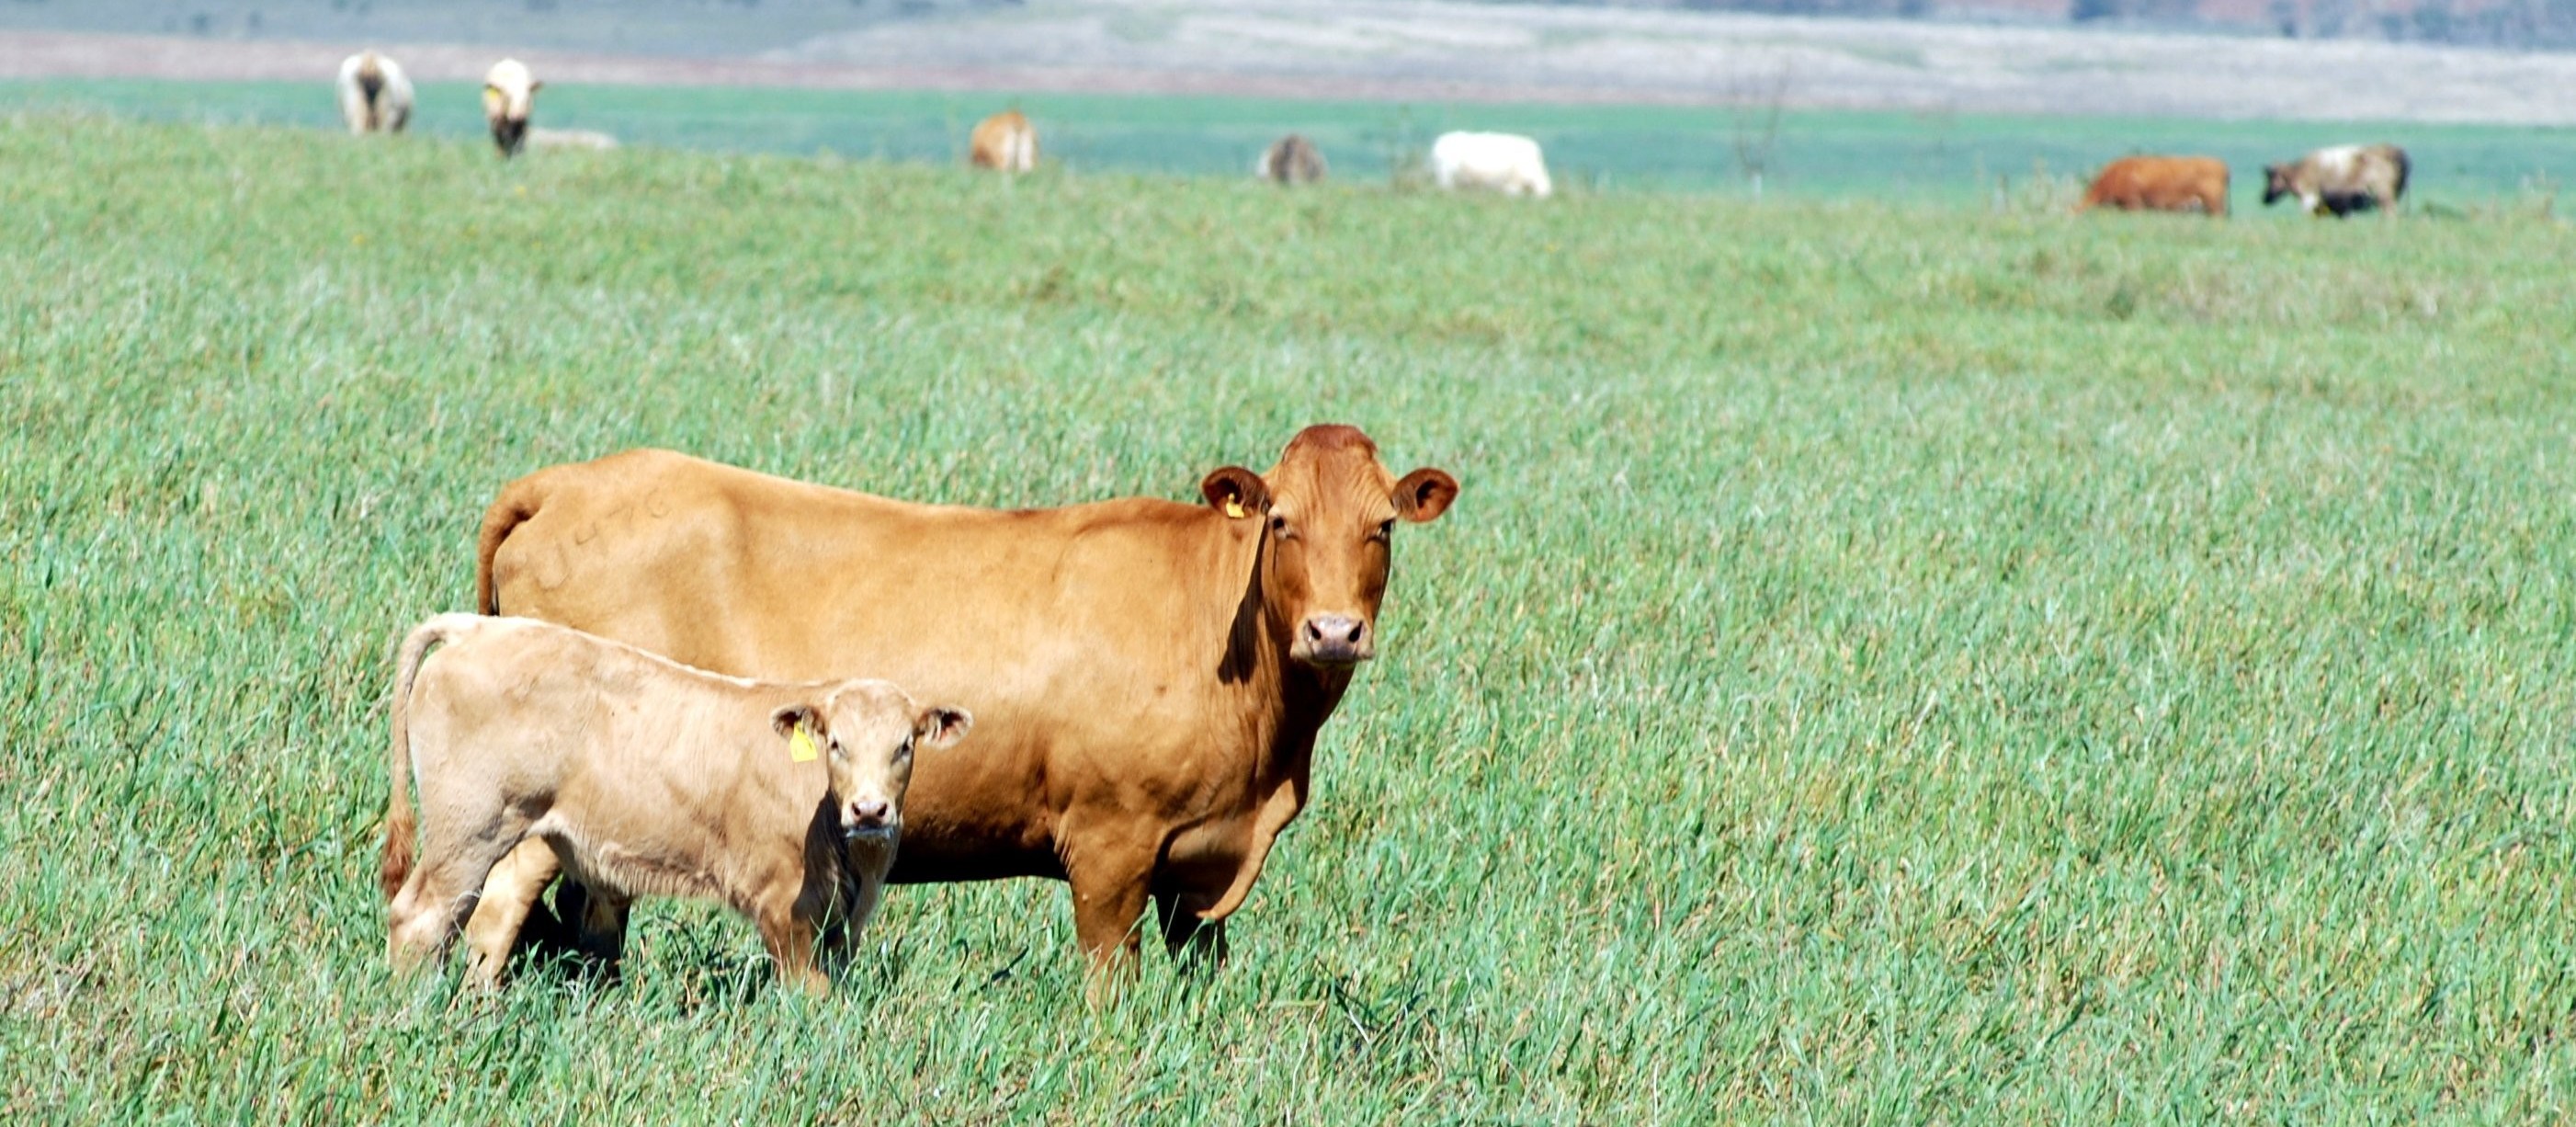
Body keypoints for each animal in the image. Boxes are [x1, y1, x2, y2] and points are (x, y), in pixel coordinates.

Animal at [368, 610, 963, 990]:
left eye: (904, 745)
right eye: (837, 744)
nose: (870, 810)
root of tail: (480, 626)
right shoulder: (786, 904)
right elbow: (809, 995)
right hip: (469, 830)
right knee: (423, 917)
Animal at [471, 423, 1463, 985]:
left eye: (1381, 526)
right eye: (1281, 521)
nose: (1333, 631)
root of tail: (570, 480)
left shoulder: (1201, 863)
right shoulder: (1111, 842)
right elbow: (1110, 986)